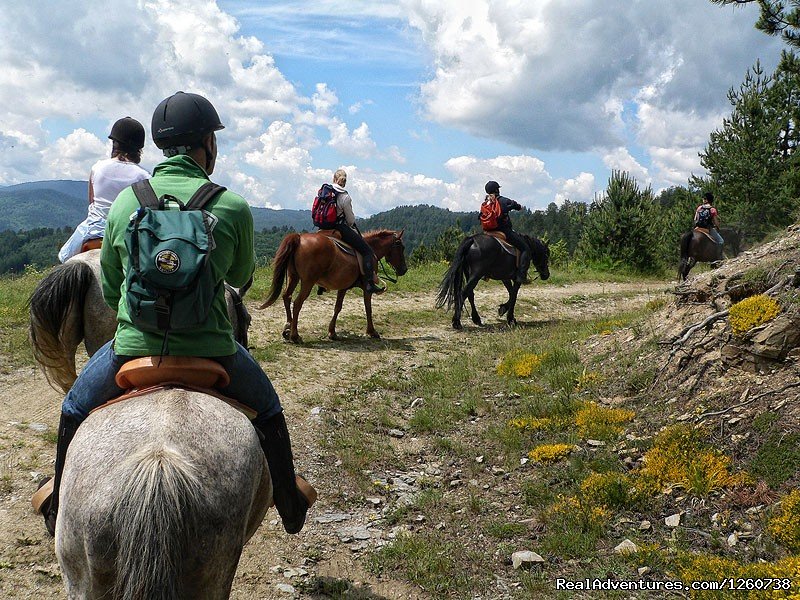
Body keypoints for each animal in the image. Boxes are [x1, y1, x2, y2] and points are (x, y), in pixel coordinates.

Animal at [260, 230, 406, 342]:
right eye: (401, 247)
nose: (404, 269)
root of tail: (299, 237)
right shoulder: (367, 288)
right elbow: (368, 308)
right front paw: (372, 331)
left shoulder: (343, 287)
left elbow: (337, 307)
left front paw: (332, 332)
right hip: (307, 282)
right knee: (297, 303)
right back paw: (295, 336)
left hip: (293, 277)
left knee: (286, 296)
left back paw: (288, 328)